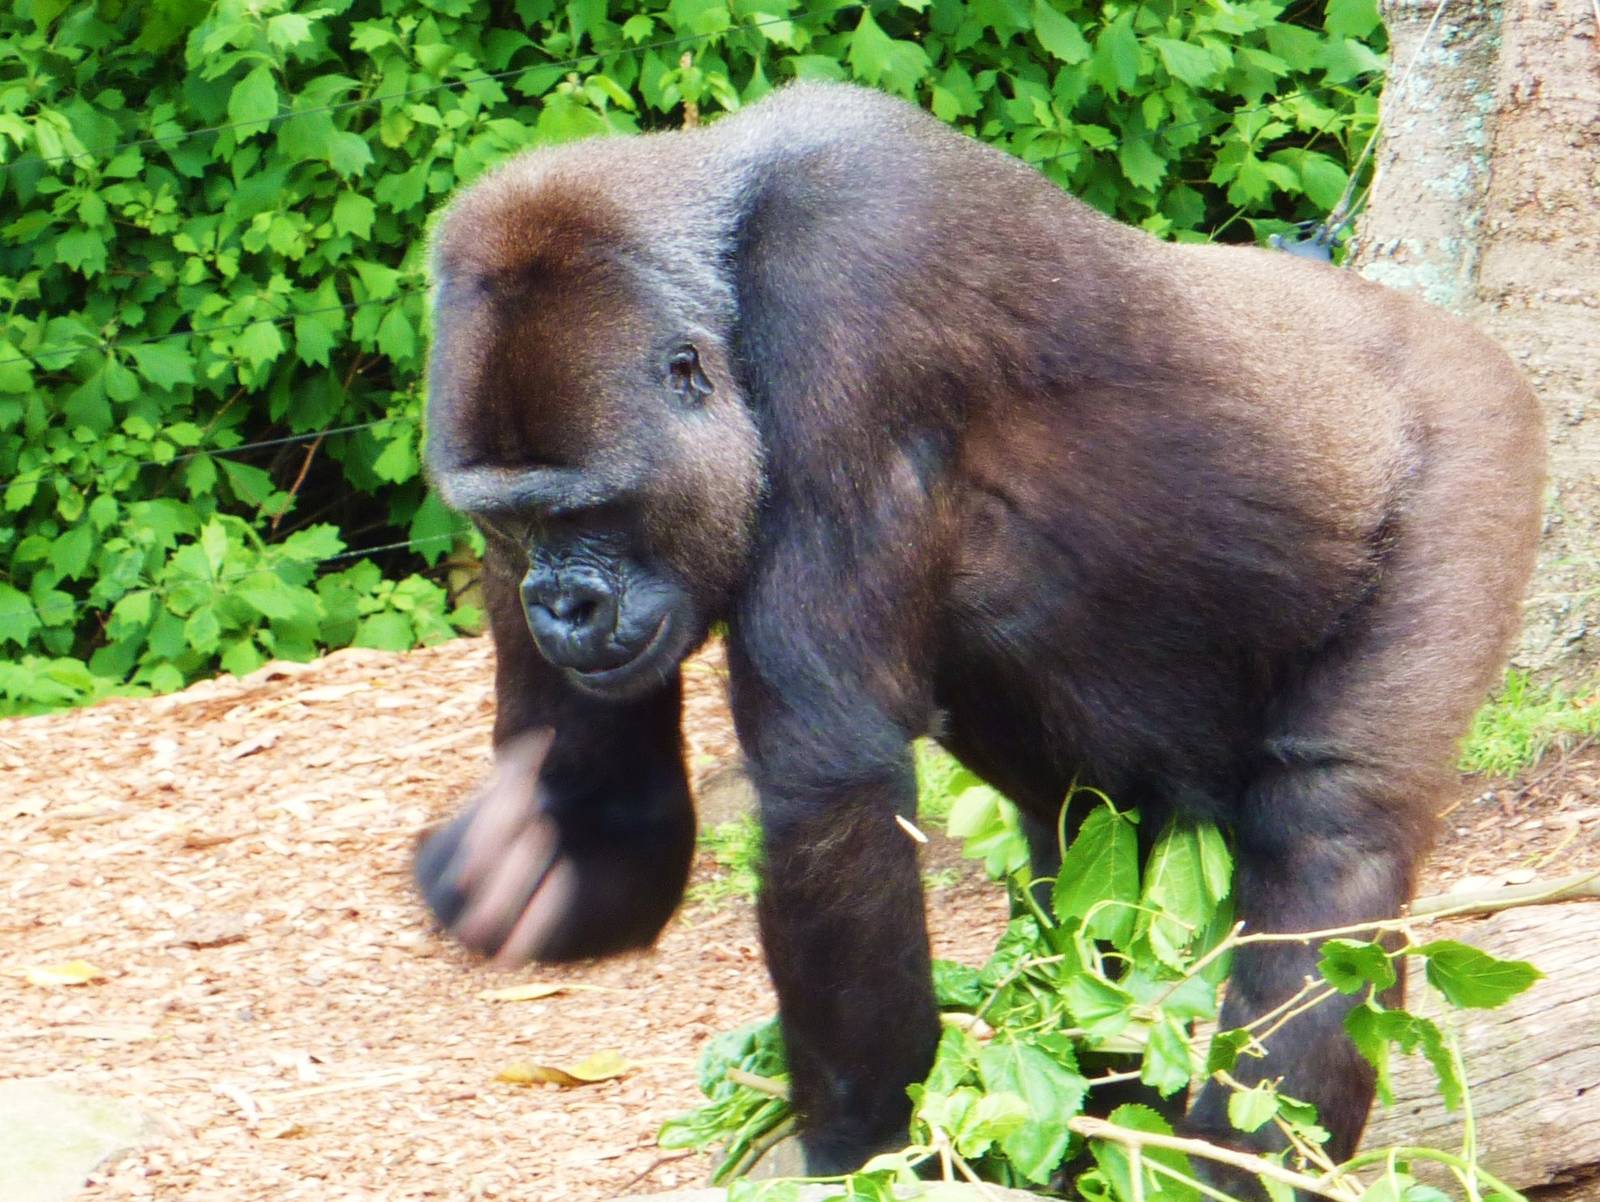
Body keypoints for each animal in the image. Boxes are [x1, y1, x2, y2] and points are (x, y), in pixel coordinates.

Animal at [411, 81, 1545, 1192]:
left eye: (589, 514)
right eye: (518, 524)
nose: (562, 607)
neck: (723, 251)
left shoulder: (844, 295)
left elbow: (831, 784)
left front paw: (865, 1147)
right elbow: (617, 828)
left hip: (1477, 433)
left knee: (1334, 831)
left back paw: (1242, 1164)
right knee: (1086, 862)